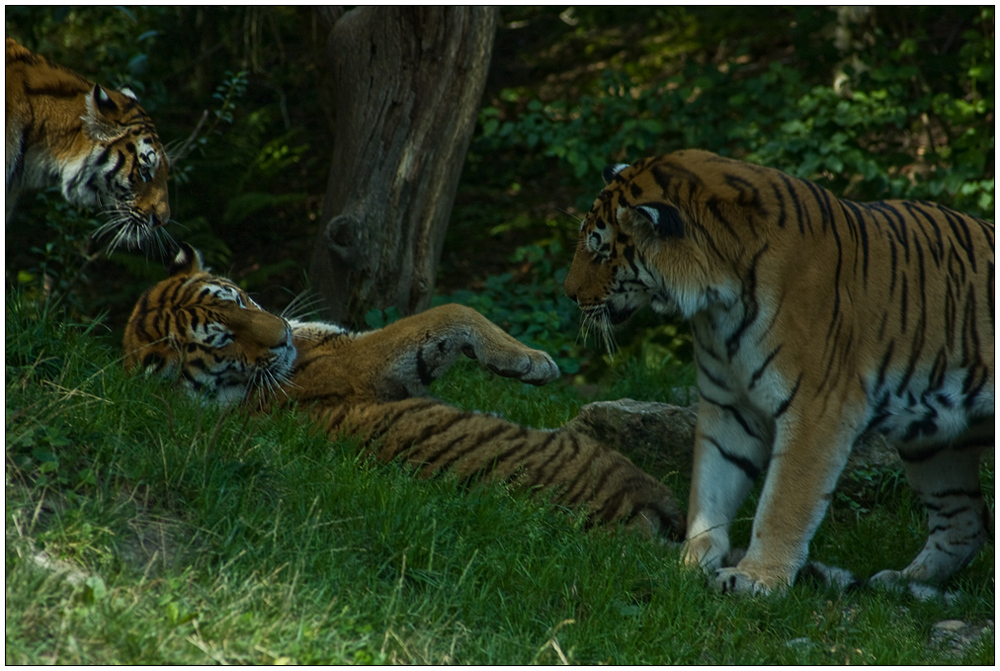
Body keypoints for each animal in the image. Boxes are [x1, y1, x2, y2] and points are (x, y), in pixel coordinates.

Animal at [123, 245, 688, 540]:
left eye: (237, 300)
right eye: (222, 338)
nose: (281, 334)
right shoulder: (369, 359)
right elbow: (453, 311)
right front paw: (536, 364)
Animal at [564, 150, 992, 596]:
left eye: (601, 251)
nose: (569, 293)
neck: (718, 302)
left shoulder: (819, 410)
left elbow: (783, 501)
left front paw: (756, 578)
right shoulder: (729, 406)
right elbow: (711, 487)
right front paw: (689, 563)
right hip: (932, 445)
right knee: (965, 521)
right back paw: (904, 582)